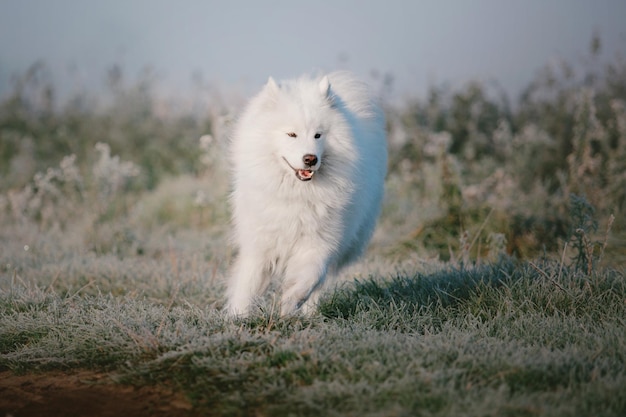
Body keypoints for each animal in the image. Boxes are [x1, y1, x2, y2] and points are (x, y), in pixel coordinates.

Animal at [225, 70, 386, 316]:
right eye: (292, 134)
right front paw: (236, 317)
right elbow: (247, 286)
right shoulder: (259, 244)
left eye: (318, 135)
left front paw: (288, 306)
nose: (310, 159)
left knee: (320, 284)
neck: (297, 195)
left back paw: (309, 314)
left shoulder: (319, 243)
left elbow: (308, 280)